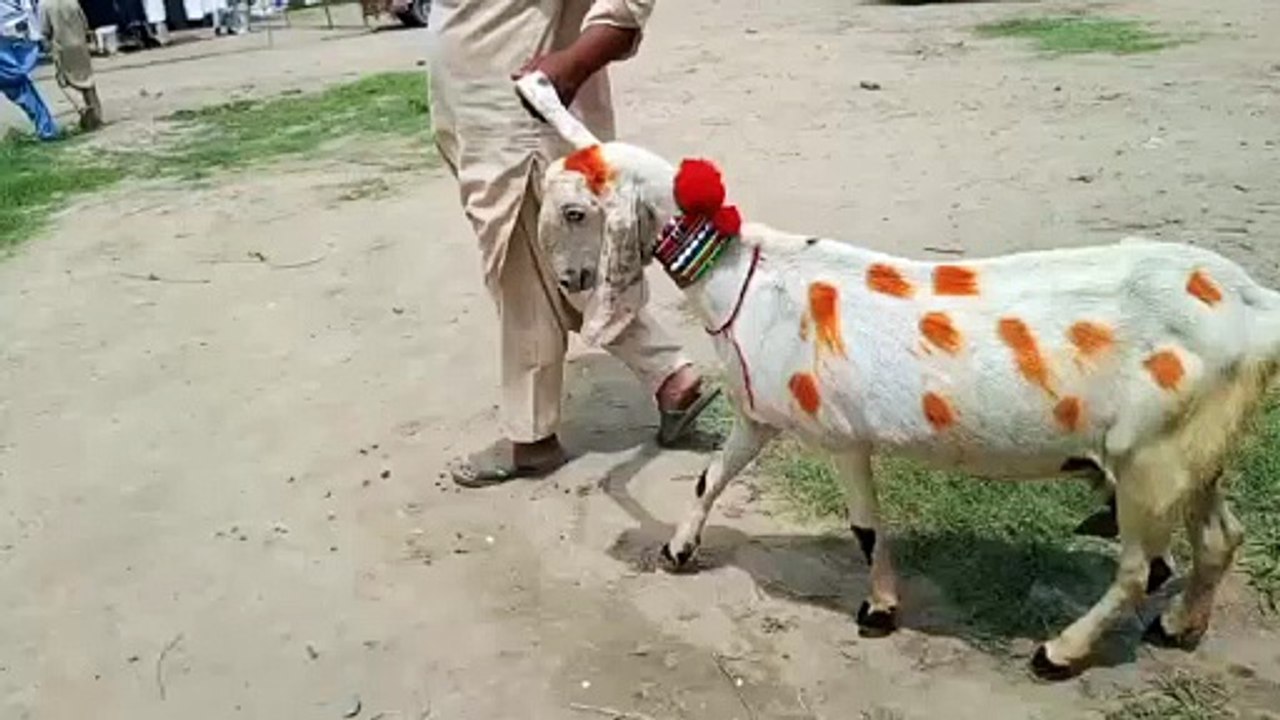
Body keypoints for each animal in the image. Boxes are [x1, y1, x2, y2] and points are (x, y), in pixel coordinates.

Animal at [516, 72, 1280, 679]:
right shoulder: (758, 415)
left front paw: (879, 610)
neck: (748, 275)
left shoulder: (841, 434)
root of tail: (1253, 304)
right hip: (1193, 450)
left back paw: (1059, 653)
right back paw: (1180, 628)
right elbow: (712, 478)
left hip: (1150, 459)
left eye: (576, 212)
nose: (569, 281)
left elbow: (864, 527)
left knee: (1137, 570)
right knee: (1219, 538)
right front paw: (678, 548)